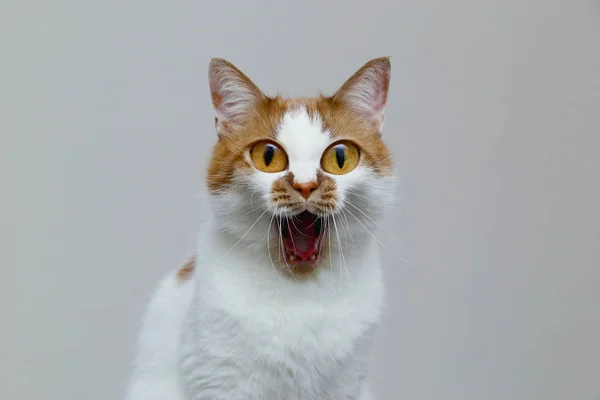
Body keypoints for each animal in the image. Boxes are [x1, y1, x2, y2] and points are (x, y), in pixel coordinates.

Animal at [125, 57, 396, 400]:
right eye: (268, 156)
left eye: (340, 157)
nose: (305, 185)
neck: (301, 297)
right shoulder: (222, 381)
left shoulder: (347, 384)